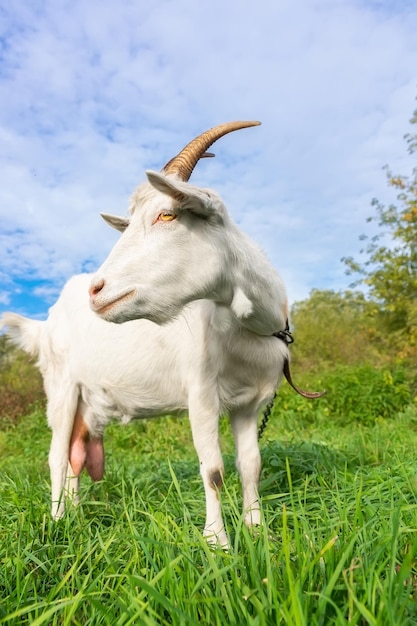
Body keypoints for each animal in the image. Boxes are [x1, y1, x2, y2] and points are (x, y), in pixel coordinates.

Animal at [0, 123, 322, 544]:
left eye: (167, 214)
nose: (97, 290)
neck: (252, 327)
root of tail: (47, 321)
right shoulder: (201, 391)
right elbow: (213, 469)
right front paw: (218, 543)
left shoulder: (250, 403)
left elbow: (250, 464)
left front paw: (257, 533)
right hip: (61, 385)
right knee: (57, 456)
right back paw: (56, 520)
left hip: (88, 400)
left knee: (75, 455)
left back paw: (73, 516)